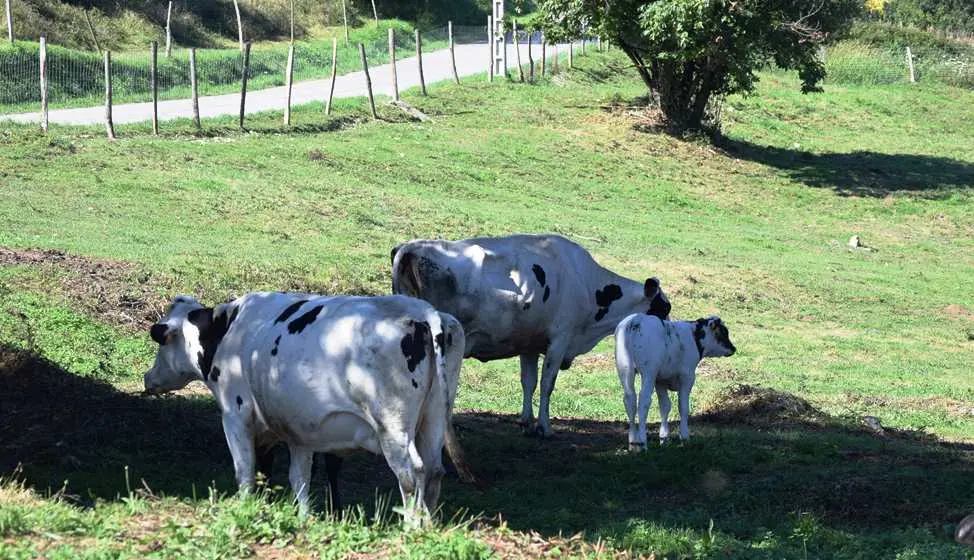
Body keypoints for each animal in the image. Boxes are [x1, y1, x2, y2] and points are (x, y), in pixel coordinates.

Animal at [146, 290, 476, 524]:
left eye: (161, 343)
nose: (148, 378)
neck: (231, 330)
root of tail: (423, 311)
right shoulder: (299, 431)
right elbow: (298, 478)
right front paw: (303, 516)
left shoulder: (235, 415)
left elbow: (246, 470)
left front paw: (244, 507)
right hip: (434, 418)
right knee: (434, 470)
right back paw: (428, 525)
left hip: (393, 427)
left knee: (412, 472)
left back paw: (410, 526)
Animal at [388, 233, 672, 438]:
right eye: (664, 308)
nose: (669, 337)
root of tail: (411, 247)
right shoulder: (560, 339)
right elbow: (547, 383)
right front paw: (544, 427)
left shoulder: (529, 343)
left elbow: (529, 381)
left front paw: (526, 420)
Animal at [612, 316, 736, 450]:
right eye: (722, 332)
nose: (733, 348)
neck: (694, 336)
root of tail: (635, 320)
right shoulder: (687, 376)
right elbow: (683, 406)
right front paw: (684, 436)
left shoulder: (660, 380)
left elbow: (665, 406)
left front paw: (664, 437)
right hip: (649, 371)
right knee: (644, 401)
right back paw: (643, 441)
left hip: (624, 368)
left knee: (629, 400)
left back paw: (633, 441)